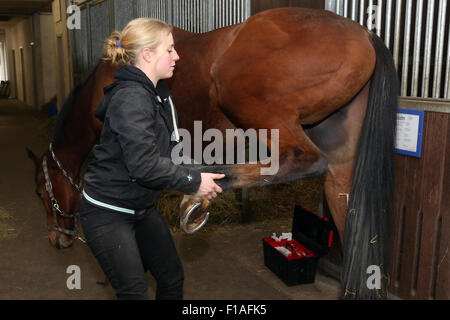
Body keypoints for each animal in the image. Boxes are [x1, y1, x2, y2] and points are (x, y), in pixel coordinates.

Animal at [26, 8, 398, 300]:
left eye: (42, 192)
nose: (57, 239)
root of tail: (365, 34)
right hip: (340, 166)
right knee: (346, 210)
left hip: (250, 103)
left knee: (301, 160)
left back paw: (203, 192)